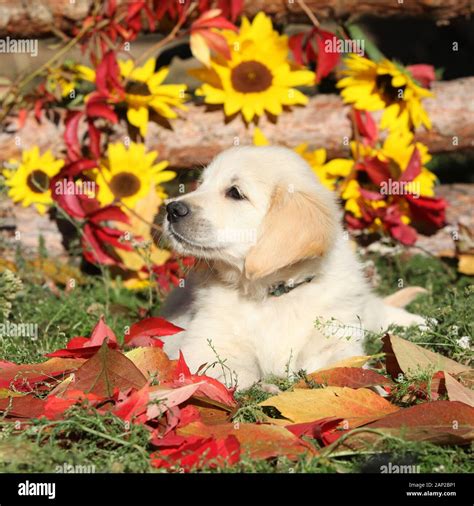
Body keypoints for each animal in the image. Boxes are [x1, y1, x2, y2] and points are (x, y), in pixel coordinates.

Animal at [160, 144, 426, 390]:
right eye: (201, 184)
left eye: (235, 193)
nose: (171, 209)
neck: (274, 293)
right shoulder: (200, 346)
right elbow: (235, 374)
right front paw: (265, 387)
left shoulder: (334, 340)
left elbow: (347, 365)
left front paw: (369, 385)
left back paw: (421, 322)